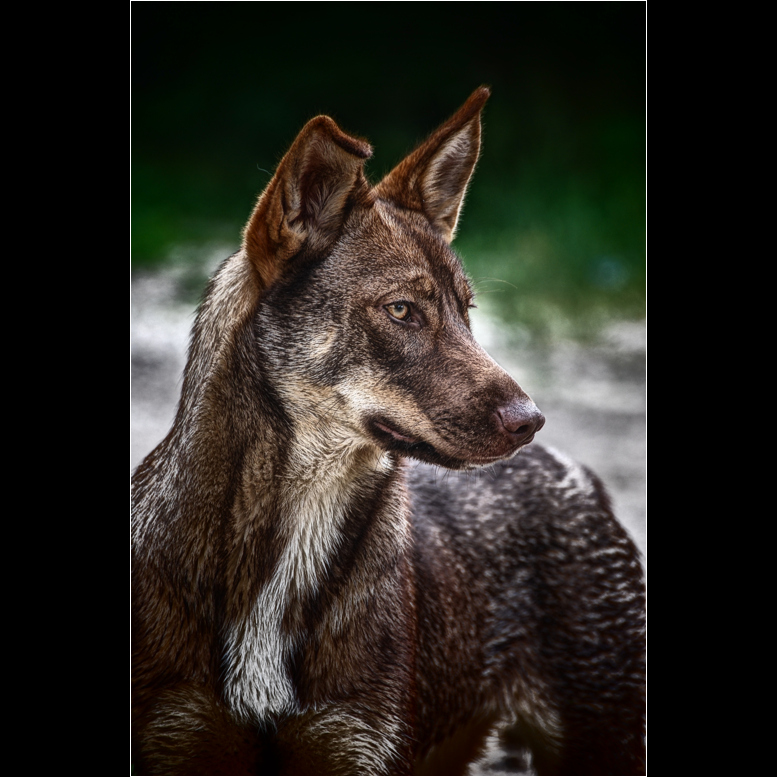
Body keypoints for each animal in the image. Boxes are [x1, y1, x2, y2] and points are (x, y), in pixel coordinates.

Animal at [132, 88, 644, 772]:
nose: (531, 421)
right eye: (402, 311)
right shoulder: (178, 737)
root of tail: (576, 472)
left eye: (466, 311)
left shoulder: (358, 745)